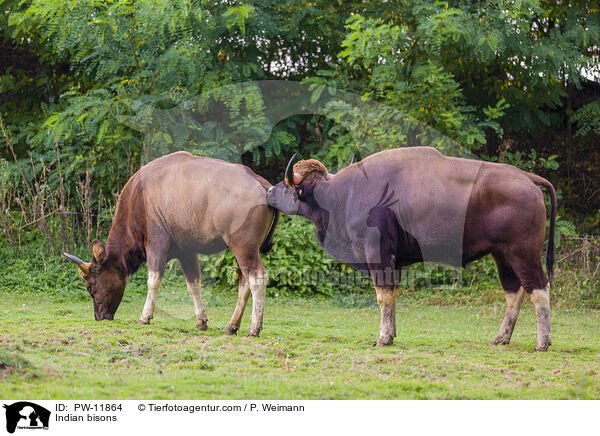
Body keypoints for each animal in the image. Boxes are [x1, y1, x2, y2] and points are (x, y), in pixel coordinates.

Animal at [64, 151, 280, 338]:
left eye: (91, 288)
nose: (99, 317)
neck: (137, 198)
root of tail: (262, 185)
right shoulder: (186, 251)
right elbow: (193, 284)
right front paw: (201, 321)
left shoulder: (156, 244)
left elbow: (153, 281)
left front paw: (145, 317)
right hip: (245, 249)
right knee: (244, 282)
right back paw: (232, 326)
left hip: (244, 247)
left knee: (258, 278)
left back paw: (254, 329)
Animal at [268, 146, 556, 350]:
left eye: (287, 185)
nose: (269, 191)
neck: (343, 194)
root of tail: (527, 179)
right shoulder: (394, 262)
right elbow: (393, 295)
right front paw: (392, 334)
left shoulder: (378, 255)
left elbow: (383, 296)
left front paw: (383, 338)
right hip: (502, 255)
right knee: (514, 291)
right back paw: (501, 338)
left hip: (523, 253)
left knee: (539, 288)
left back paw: (542, 343)